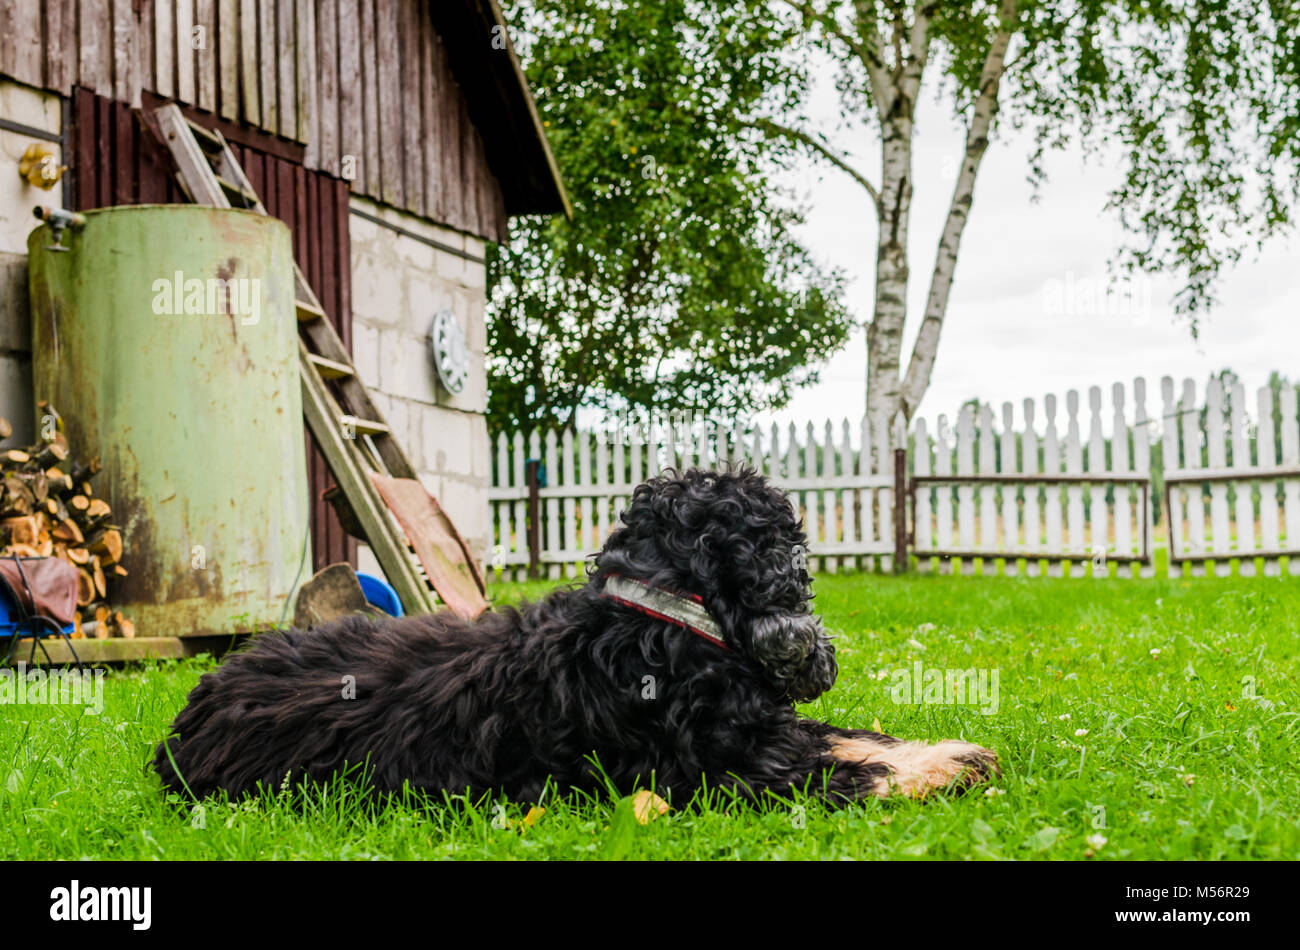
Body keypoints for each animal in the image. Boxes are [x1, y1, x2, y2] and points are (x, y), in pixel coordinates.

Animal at [157, 467, 998, 800]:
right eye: (788, 548)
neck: (657, 620)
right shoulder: (712, 772)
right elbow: (846, 768)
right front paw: (937, 771)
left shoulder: (765, 731)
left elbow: (857, 737)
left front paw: (948, 751)